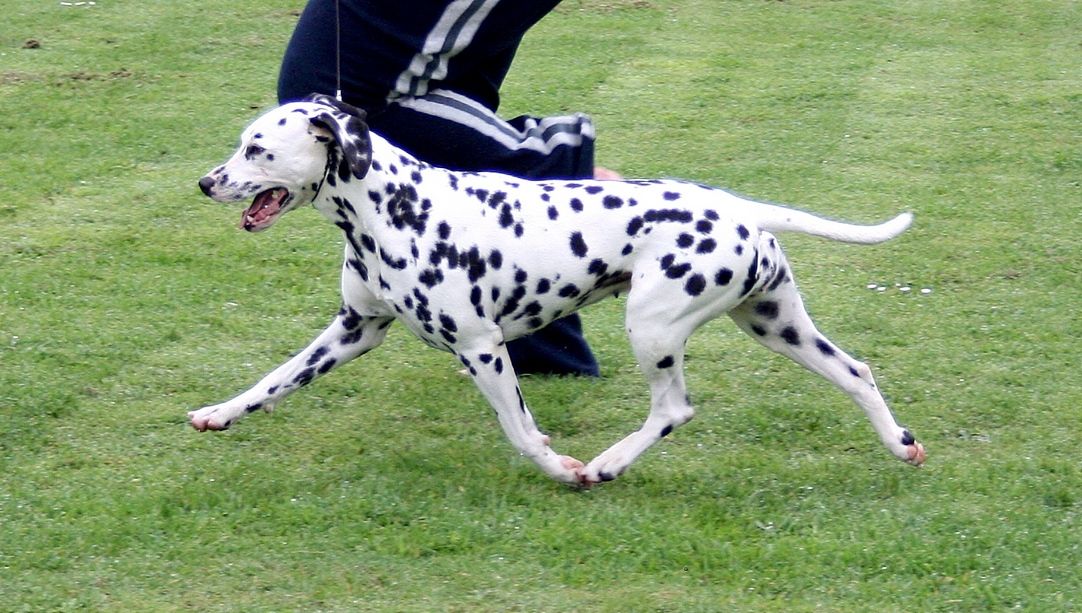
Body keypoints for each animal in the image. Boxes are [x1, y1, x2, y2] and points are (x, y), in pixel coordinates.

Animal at [191, 94, 925, 485]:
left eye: (256, 148)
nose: (204, 182)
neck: (394, 207)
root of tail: (739, 208)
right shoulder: (352, 329)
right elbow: (272, 381)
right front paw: (219, 413)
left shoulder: (482, 349)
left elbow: (521, 432)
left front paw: (560, 467)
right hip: (777, 324)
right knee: (857, 373)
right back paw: (900, 445)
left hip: (652, 327)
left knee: (673, 409)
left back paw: (606, 465)